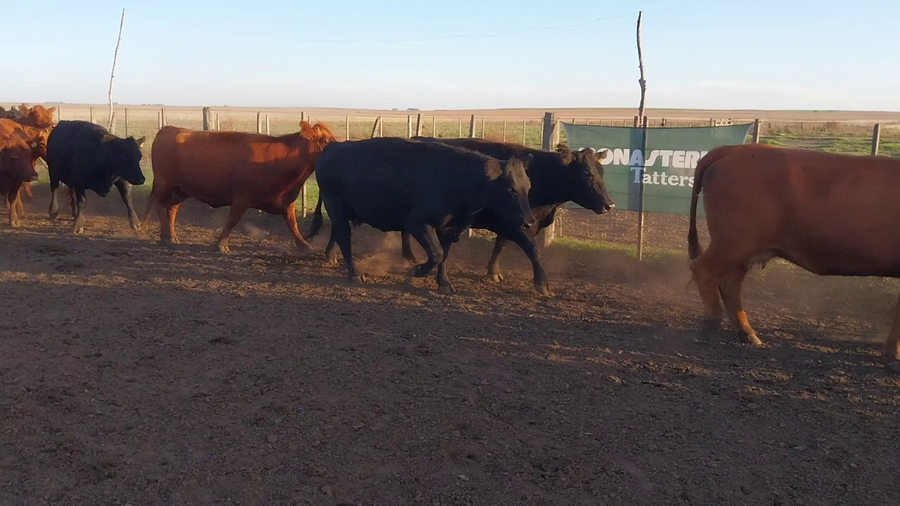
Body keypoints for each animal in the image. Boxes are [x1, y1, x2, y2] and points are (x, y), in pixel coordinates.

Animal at [142, 121, 335, 253]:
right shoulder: (242, 196)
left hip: (181, 190)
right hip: (164, 184)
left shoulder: (286, 200)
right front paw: (221, 244)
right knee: (159, 205)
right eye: (325, 140)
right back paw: (165, 235)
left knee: (172, 210)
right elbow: (233, 219)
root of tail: (170, 128)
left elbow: (292, 224)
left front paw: (304, 245)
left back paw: (173, 237)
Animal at [305, 137, 535, 294]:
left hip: (345, 212)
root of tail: (334, 147)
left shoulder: (448, 228)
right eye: (511, 189)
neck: (460, 178)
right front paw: (417, 270)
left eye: (528, 187)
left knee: (337, 233)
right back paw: (354, 273)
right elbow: (436, 254)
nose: (528, 222)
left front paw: (444, 283)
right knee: (344, 238)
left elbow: (444, 255)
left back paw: (333, 258)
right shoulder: (417, 223)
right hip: (336, 206)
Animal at [358, 137, 612, 295]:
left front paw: (493, 272)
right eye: (586, 173)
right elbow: (532, 249)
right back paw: (409, 256)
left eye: (602, 171)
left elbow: (500, 246)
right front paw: (542, 284)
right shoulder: (519, 225)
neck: (542, 174)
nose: (609, 204)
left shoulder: (515, 223)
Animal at [687, 143, 900, 374]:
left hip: (742, 250)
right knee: (702, 269)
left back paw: (747, 333)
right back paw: (712, 324)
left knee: (729, 283)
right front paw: (893, 357)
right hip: (734, 244)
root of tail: (736, 149)